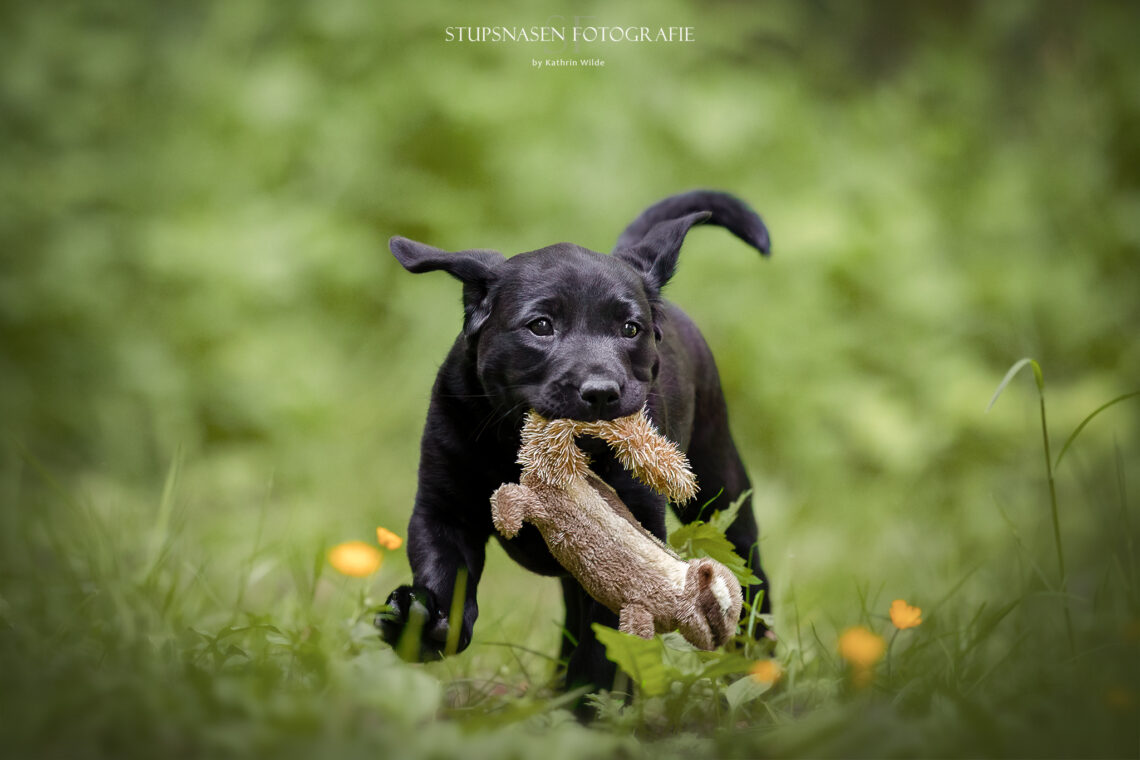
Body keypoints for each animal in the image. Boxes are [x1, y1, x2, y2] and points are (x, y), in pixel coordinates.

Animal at [378, 186, 770, 692]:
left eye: (630, 329)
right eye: (541, 325)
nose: (601, 392)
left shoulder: (629, 538)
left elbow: (605, 647)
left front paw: (589, 707)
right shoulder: (443, 510)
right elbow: (446, 575)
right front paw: (423, 622)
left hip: (721, 489)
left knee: (753, 585)